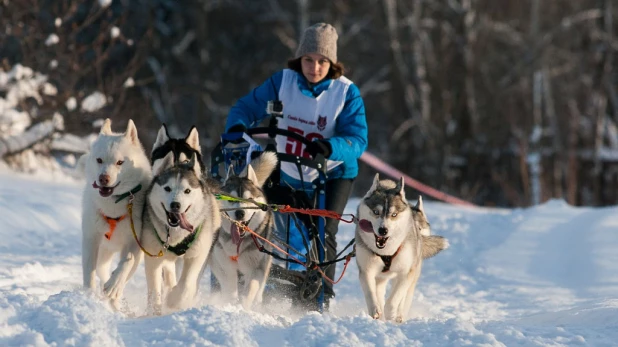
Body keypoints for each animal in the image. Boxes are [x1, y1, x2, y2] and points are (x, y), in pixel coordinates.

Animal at [79, 119, 150, 310]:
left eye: (119, 162)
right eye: (99, 160)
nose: (103, 178)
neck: (114, 206)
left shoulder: (135, 242)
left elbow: (127, 261)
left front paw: (114, 286)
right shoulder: (91, 239)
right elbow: (89, 273)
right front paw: (89, 296)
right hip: (103, 253)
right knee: (102, 271)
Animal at [139, 152, 219, 312]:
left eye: (187, 190)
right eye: (167, 188)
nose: (175, 205)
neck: (175, 235)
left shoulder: (197, 255)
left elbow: (186, 283)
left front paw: (174, 300)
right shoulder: (153, 256)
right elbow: (154, 288)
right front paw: (154, 311)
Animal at [211, 152, 278, 310]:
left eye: (250, 199)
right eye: (231, 199)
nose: (240, 213)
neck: (238, 244)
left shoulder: (256, 267)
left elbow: (250, 289)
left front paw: (243, 306)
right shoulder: (224, 265)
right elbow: (230, 288)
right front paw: (230, 303)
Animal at [352, 174, 448, 324]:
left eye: (394, 215)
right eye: (376, 212)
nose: (383, 230)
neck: (386, 252)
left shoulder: (406, 273)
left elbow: (395, 299)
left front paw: (391, 313)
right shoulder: (366, 270)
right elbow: (370, 293)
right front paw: (375, 310)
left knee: (403, 298)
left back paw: (398, 316)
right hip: (381, 277)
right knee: (379, 291)